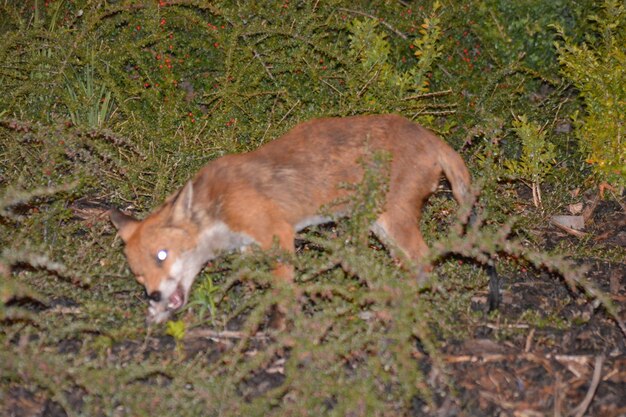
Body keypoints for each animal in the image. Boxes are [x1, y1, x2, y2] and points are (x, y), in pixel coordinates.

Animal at [111, 114, 468, 322]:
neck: (218, 208)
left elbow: (283, 290)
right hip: (380, 227)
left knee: (424, 264)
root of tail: (428, 135)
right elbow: (252, 276)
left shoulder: (278, 234)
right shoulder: (250, 245)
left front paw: (286, 324)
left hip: (392, 221)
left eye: (162, 255)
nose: (154, 296)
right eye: (139, 275)